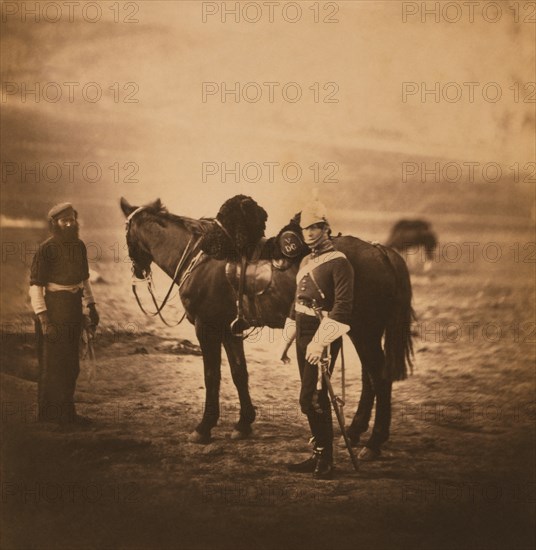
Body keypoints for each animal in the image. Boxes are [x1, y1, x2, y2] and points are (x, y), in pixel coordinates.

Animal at [121, 198, 414, 452]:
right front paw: (243, 424)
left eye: (127, 235)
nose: (137, 272)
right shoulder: (230, 330)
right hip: (361, 331)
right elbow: (239, 373)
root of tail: (380, 250)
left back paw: (374, 443)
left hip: (365, 331)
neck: (198, 256)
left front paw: (203, 428)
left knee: (379, 378)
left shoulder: (207, 328)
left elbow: (211, 376)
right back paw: (353, 432)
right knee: (369, 379)